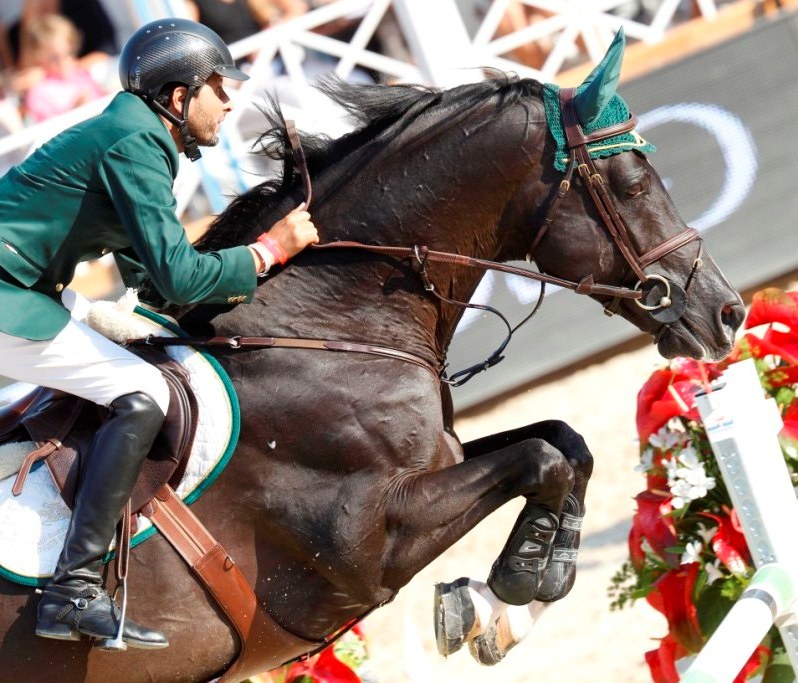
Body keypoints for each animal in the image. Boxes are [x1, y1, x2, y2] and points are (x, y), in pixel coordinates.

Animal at [0, 33, 744, 682]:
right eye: (630, 181)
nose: (728, 312)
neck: (323, 324)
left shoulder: (440, 458)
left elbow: (565, 442)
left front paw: (519, 596)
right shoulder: (372, 540)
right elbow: (541, 458)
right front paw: (504, 588)